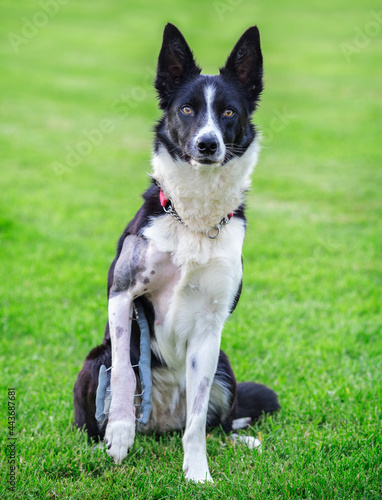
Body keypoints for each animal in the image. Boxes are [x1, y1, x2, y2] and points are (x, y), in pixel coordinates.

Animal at [73, 21, 280, 482]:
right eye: (187, 110)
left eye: (229, 113)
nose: (207, 145)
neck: (194, 219)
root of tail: (160, 424)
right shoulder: (123, 295)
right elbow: (127, 376)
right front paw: (119, 435)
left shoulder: (209, 325)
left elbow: (199, 420)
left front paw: (198, 473)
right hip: (95, 361)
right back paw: (109, 436)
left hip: (224, 365)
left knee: (218, 421)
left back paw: (241, 440)